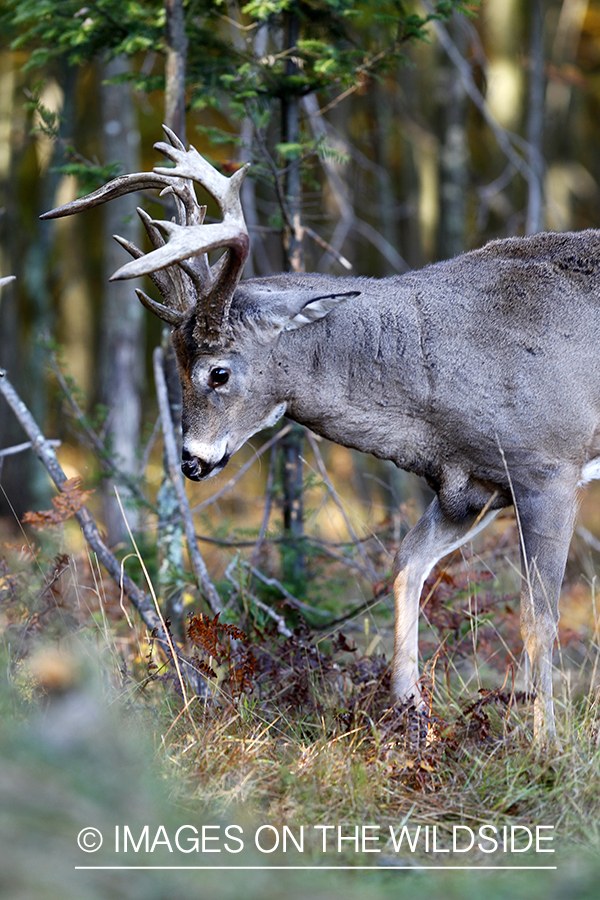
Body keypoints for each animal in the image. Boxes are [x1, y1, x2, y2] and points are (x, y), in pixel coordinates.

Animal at [43, 126, 600, 740]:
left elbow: (539, 615)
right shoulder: (471, 487)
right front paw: (412, 723)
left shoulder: (549, 466)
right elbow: (406, 566)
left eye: (218, 371)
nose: (191, 461)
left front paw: (544, 742)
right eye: (175, 360)